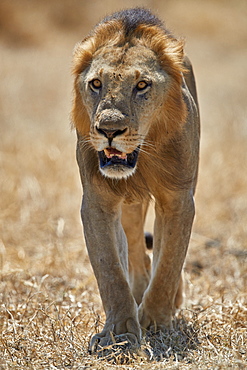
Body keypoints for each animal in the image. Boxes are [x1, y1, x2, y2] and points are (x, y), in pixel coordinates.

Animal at [71, 7, 201, 356]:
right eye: (96, 84)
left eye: (142, 85)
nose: (109, 130)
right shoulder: (97, 201)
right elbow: (111, 271)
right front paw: (119, 334)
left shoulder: (178, 199)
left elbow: (169, 262)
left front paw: (155, 324)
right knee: (134, 248)